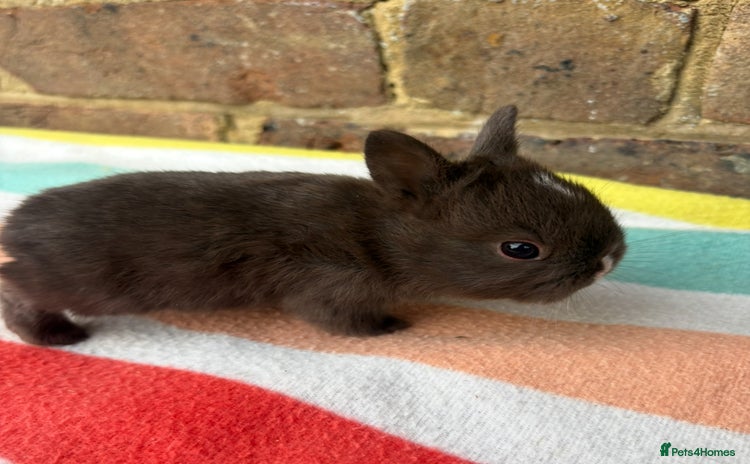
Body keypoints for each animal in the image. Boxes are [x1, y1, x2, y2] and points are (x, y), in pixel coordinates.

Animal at [0, 105, 626, 346]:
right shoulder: (328, 288)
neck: (376, 236)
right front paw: (390, 329)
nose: (609, 257)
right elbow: (339, 322)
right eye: (520, 248)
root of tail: (13, 230)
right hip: (66, 283)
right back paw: (57, 337)